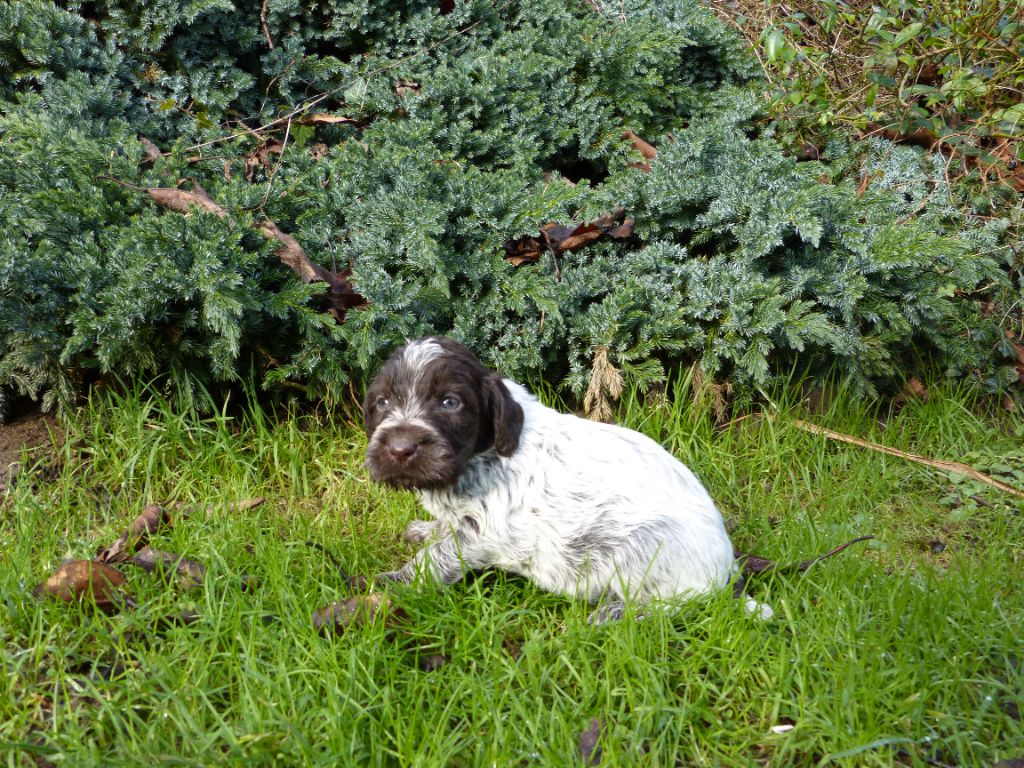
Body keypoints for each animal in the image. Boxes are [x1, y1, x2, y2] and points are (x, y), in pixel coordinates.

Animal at [362, 335, 770, 626]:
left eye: (450, 402)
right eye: (383, 403)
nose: (400, 449)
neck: (482, 456)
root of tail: (728, 574)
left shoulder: (484, 532)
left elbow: (436, 558)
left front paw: (393, 581)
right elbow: (442, 531)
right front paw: (425, 529)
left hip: (648, 548)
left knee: (682, 603)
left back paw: (619, 613)